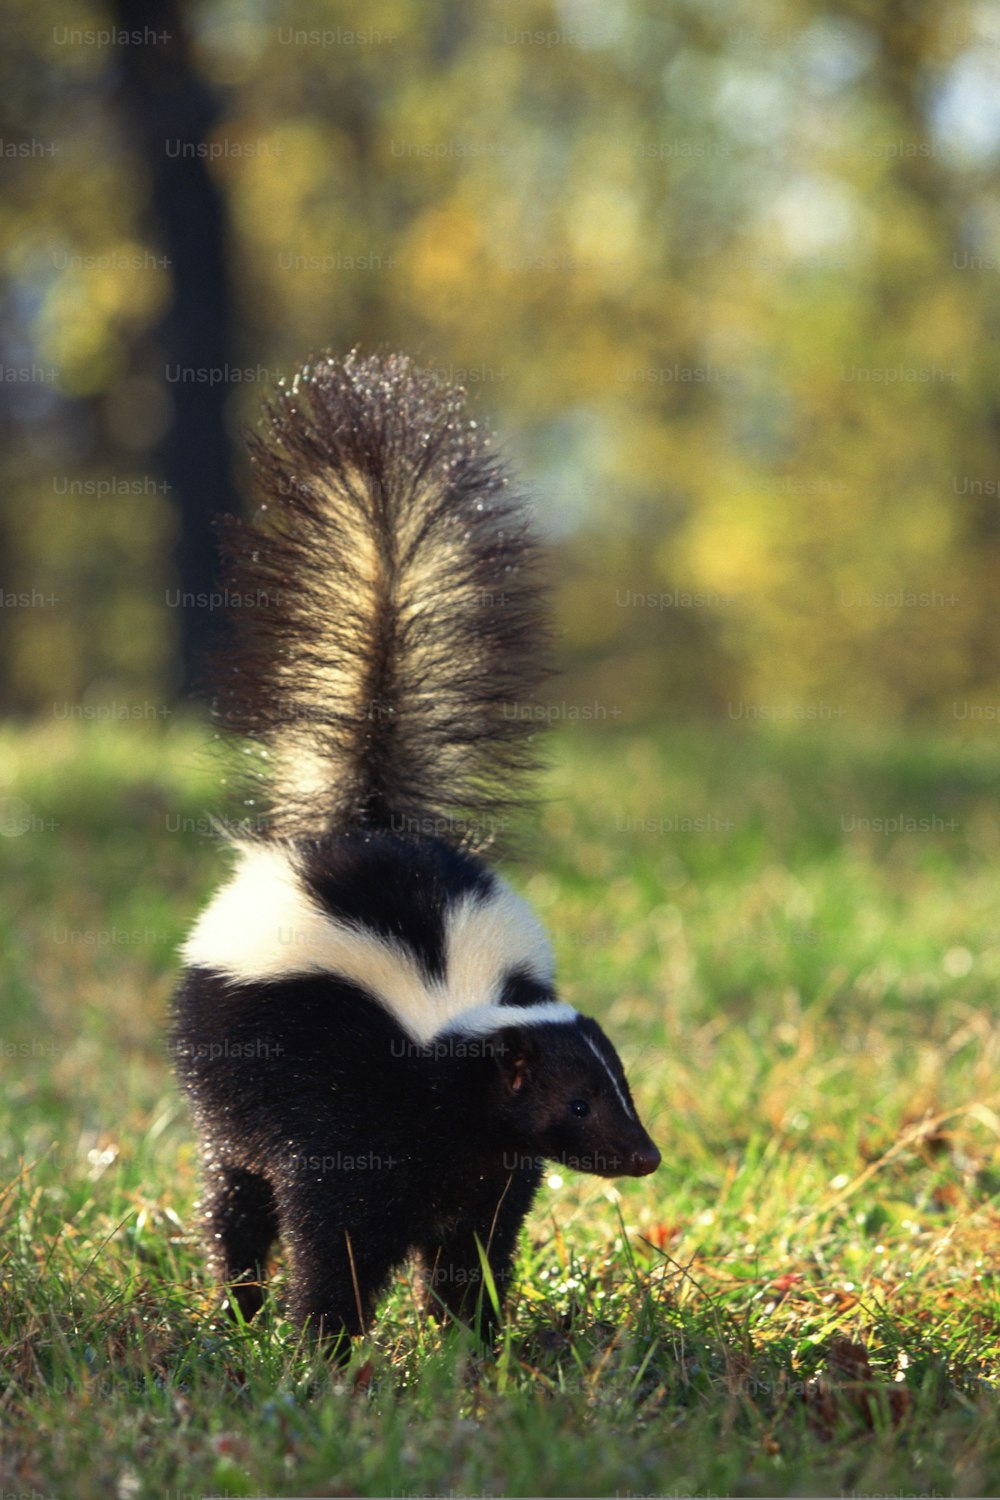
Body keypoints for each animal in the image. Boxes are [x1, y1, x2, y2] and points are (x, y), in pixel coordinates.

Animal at [172, 351, 659, 1350]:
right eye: (577, 1102)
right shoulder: (346, 1118)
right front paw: (323, 1346)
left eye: (620, 1085)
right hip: (222, 1077)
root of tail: (364, 821)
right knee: (232, 1198)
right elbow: (335, 1235)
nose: (644, 1154)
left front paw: (470, 1339)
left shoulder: (486, 1160)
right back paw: (236, 1308)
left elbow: (474, 1241)